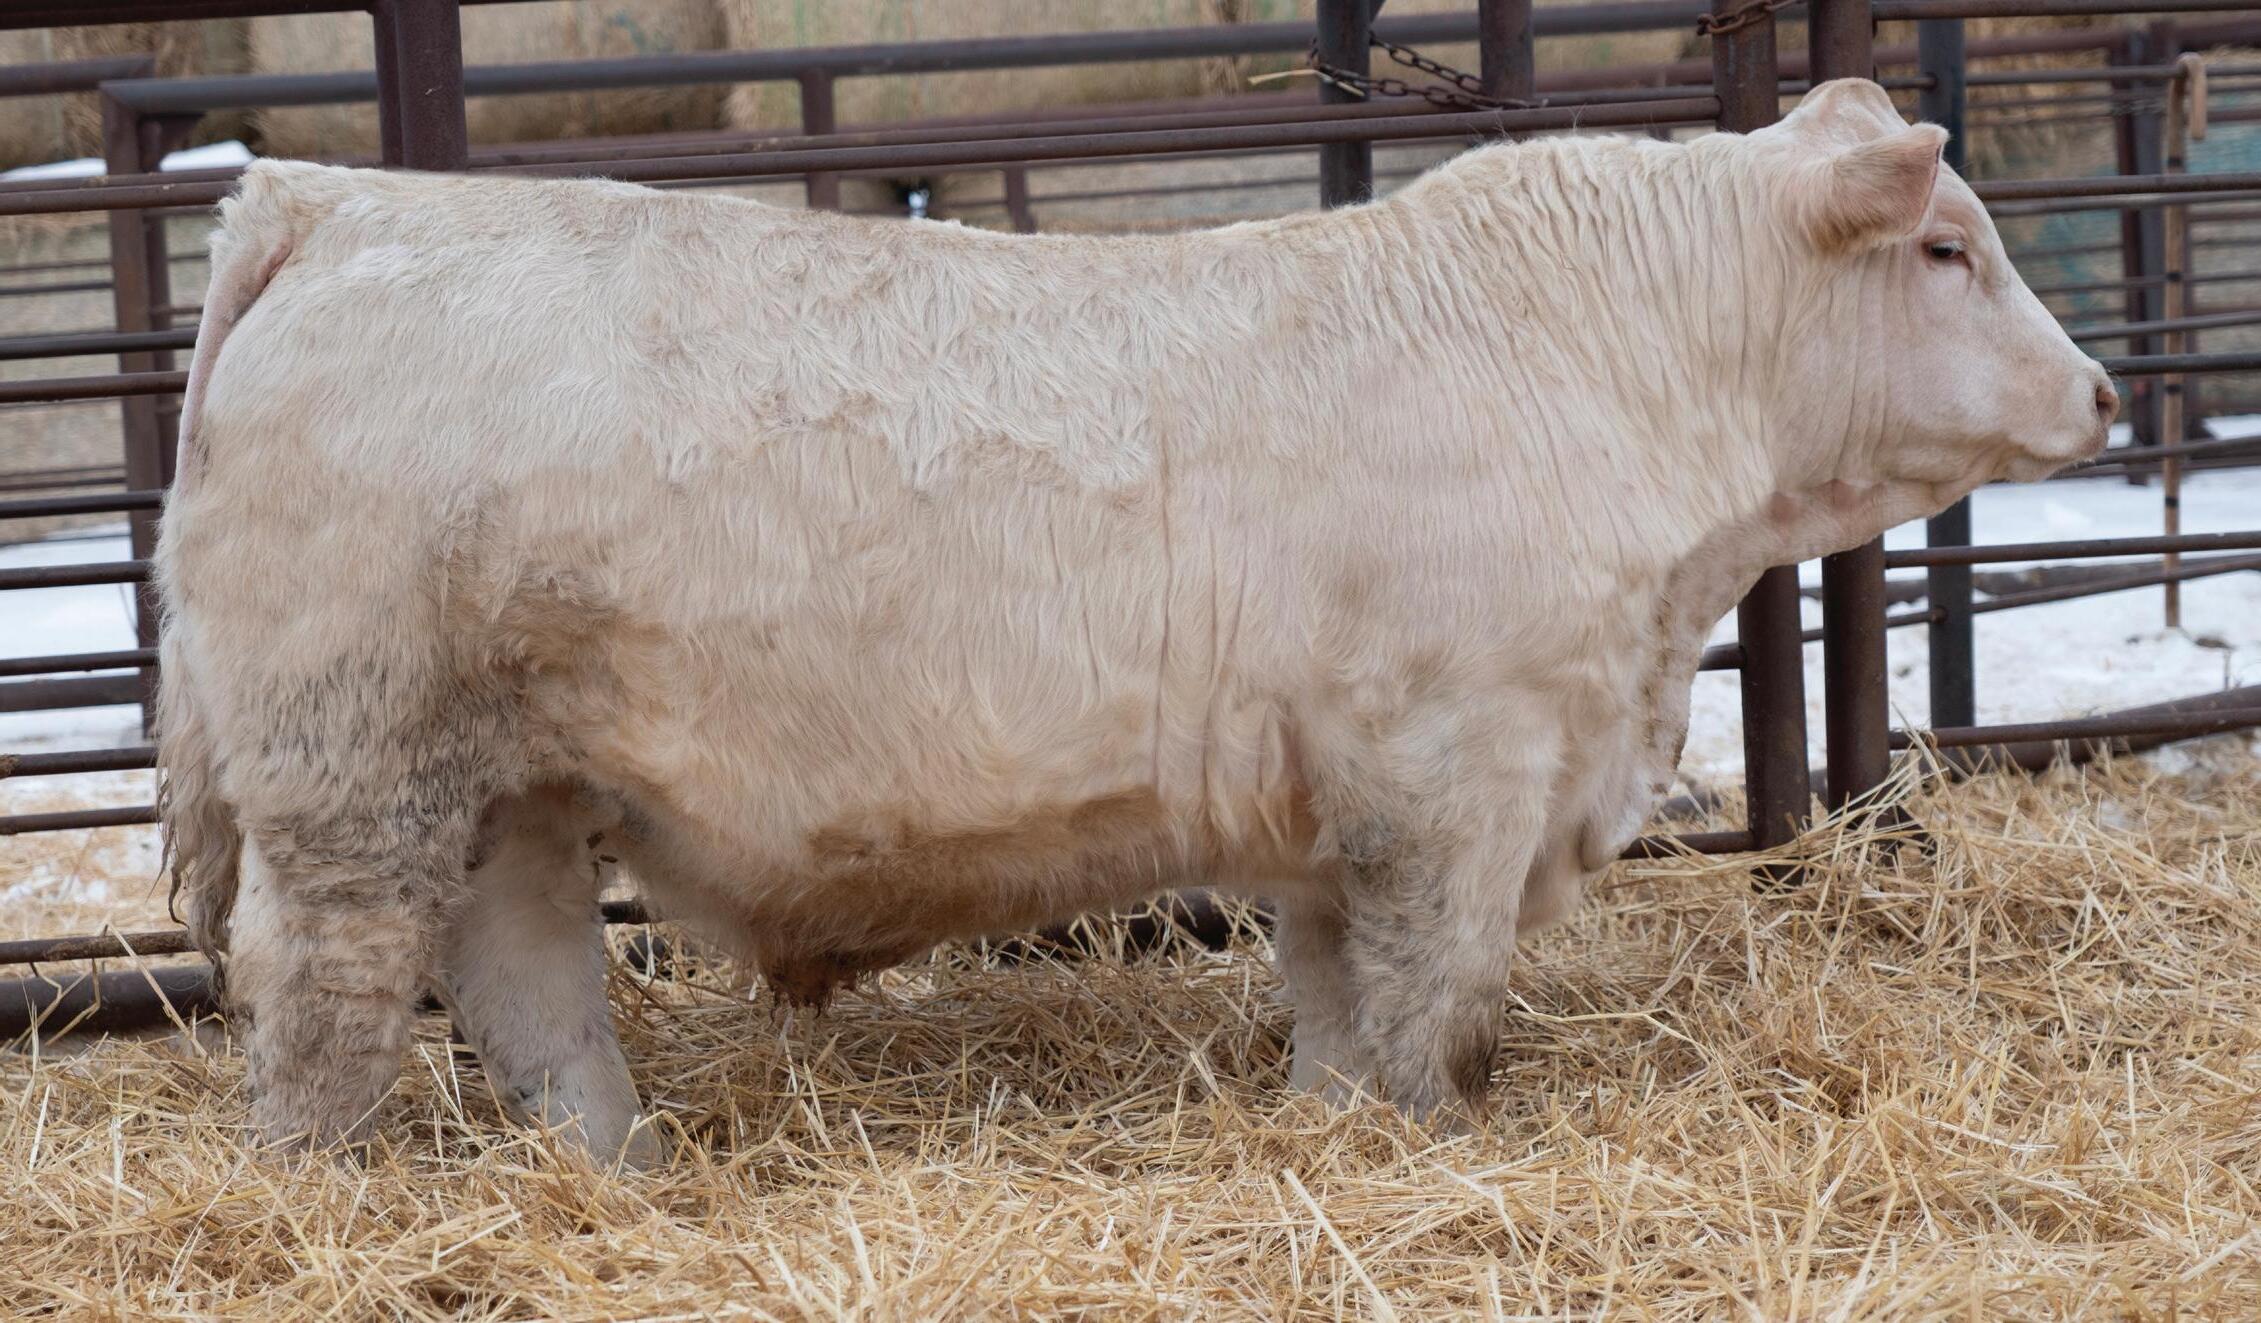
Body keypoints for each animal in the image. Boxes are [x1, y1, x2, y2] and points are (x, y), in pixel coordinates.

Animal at [155, 79, 2115, 1166]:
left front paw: (1332, 1133)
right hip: (355, 766)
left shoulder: (1341, 803)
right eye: (1946, 247)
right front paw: (1427, 1145)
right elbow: (1439, 1006)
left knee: (527, 982)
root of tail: (339, 200)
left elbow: (1340, 1001)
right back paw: (325, 1184)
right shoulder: (1457, 770)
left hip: (508, 783)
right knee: (323, 992)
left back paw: (611, 1166)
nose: (2101, 391)